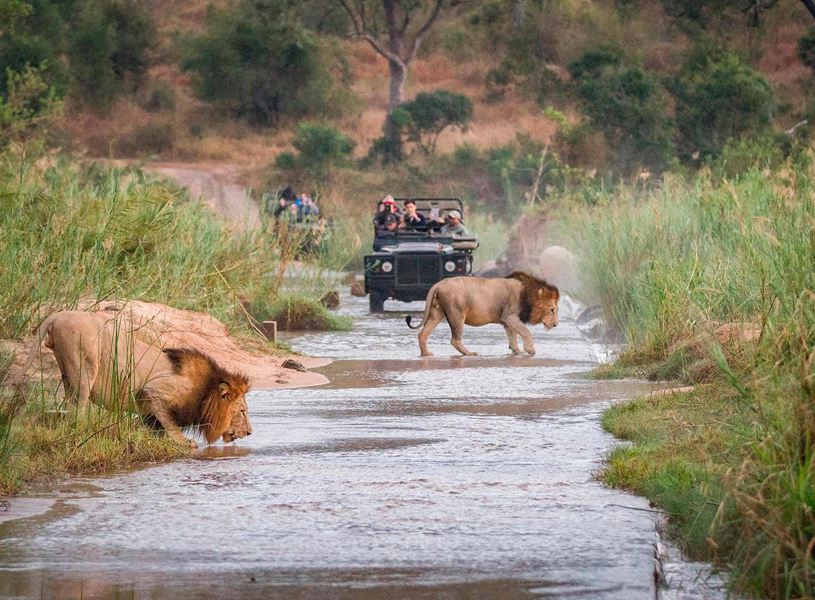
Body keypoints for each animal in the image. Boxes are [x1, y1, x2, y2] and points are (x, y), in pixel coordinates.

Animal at [11, 310, 252, 448]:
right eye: (242, 411)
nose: (250, 432)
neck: (205, 391)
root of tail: (56, 315)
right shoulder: (154, 391)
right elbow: (170, 424)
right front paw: (185, 442)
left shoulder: (149, 409)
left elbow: (155, 424)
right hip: (85, 366)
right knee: (77, 407)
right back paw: (85, 432)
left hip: (68, 371)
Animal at [406, 272, 559, 357]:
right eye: (552, 309)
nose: (556, 324)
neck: (528, 294)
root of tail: (437, 284)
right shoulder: (510, 316)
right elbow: (526, 332)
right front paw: (530, 350)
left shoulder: (507, 321)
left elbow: (513, 336)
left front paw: (517, 351)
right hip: (457, 314)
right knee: (455, 339)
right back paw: (470, 353)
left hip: (436, 313)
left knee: (422, 334)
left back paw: (426, 354)